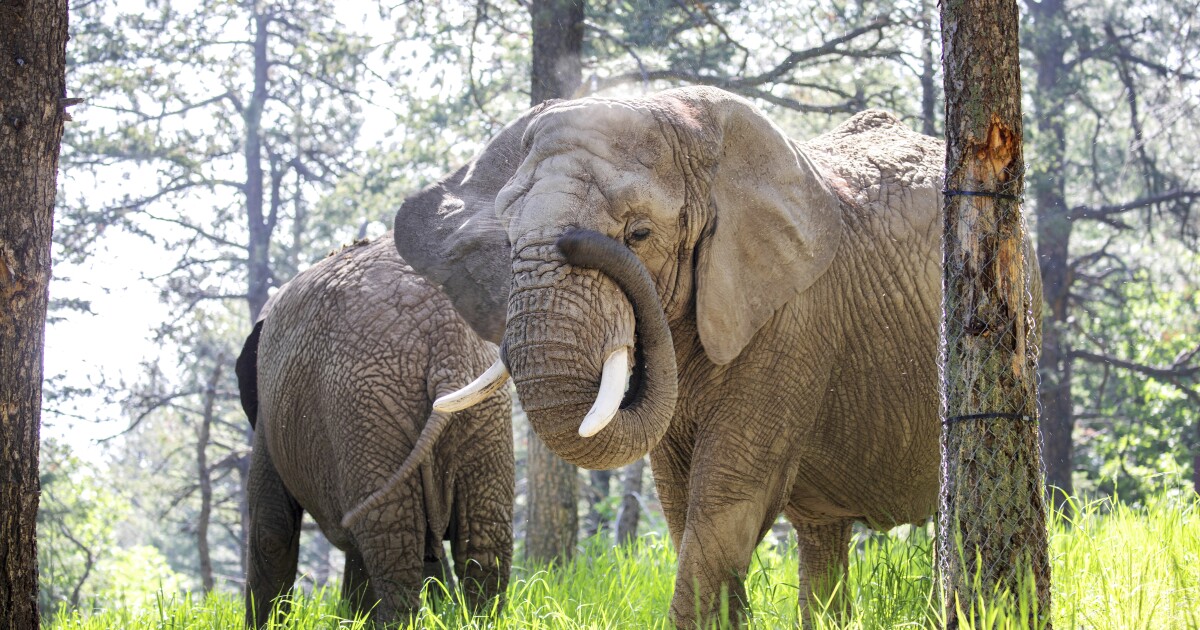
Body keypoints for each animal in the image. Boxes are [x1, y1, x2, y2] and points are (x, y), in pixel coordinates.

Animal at [234, 235, 514, 627]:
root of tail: (444, 338)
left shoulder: (268, 415)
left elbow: (271, 530)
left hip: (365, 409)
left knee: (392, 542)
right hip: (481, 414)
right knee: (483, 544)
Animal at [393, 86, 1042, 627]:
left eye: (638, 235)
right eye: (506, 242)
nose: (577, 240)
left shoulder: (792, 319)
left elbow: (727, 497)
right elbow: (680, 503)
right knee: (822, 535)